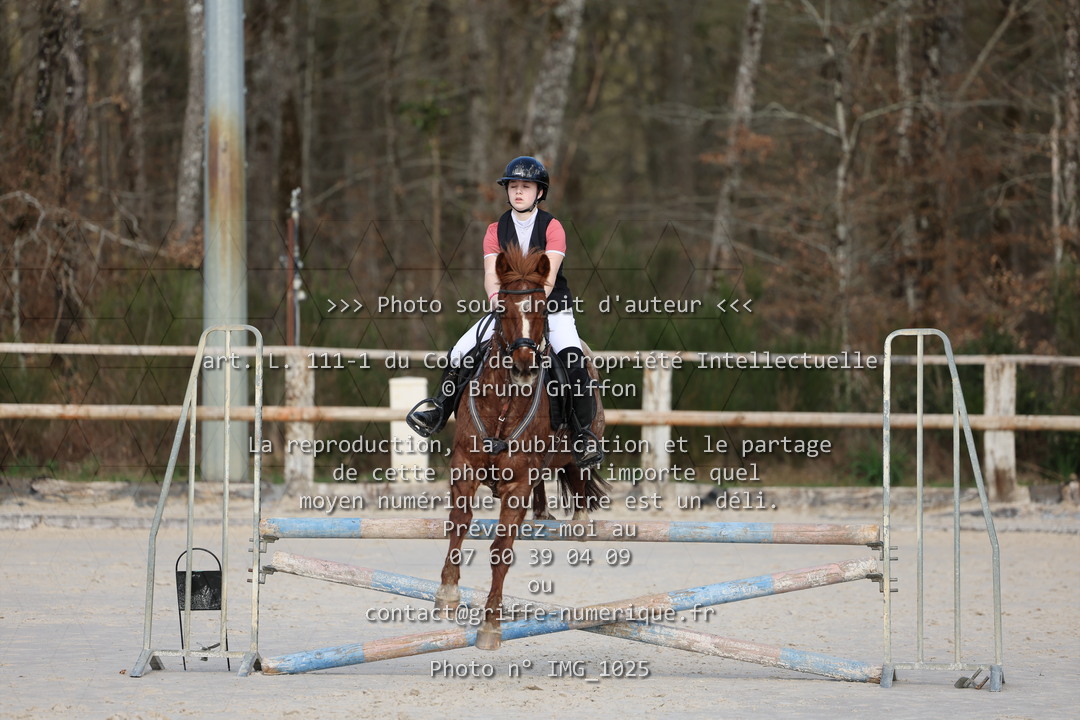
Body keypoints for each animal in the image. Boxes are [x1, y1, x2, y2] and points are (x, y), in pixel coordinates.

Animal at [434, 246, 608, 650]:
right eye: (501, 311)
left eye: (543, 309)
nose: (524, 368)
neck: (504, 402)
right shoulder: (464, 467)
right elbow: (458, 523)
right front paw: (447, 594)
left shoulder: (516, 484)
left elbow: (501, 551)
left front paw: (490, 626)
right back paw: (543, 512)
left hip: (579, 447)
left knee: (579, 477)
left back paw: (579, 521)